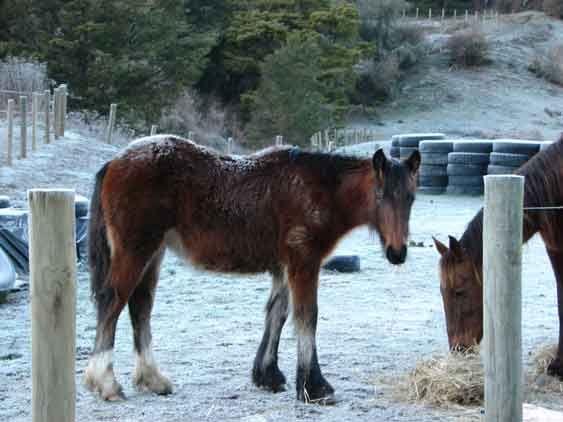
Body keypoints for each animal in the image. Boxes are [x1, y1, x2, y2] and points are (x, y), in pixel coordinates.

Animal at [82, 137, 418, 404]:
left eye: (411, 197)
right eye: (381, 195)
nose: (397, 253)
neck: (317, 190)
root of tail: (115, 161)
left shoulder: (284, 266)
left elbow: (277, 313)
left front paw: (267, 375)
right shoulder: (304, 262)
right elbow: (307, 317)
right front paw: (314, 387)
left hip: (153, 254)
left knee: (140, 307)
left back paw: (153, 380)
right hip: (136, 252)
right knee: (112, 303)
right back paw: (106, 383)